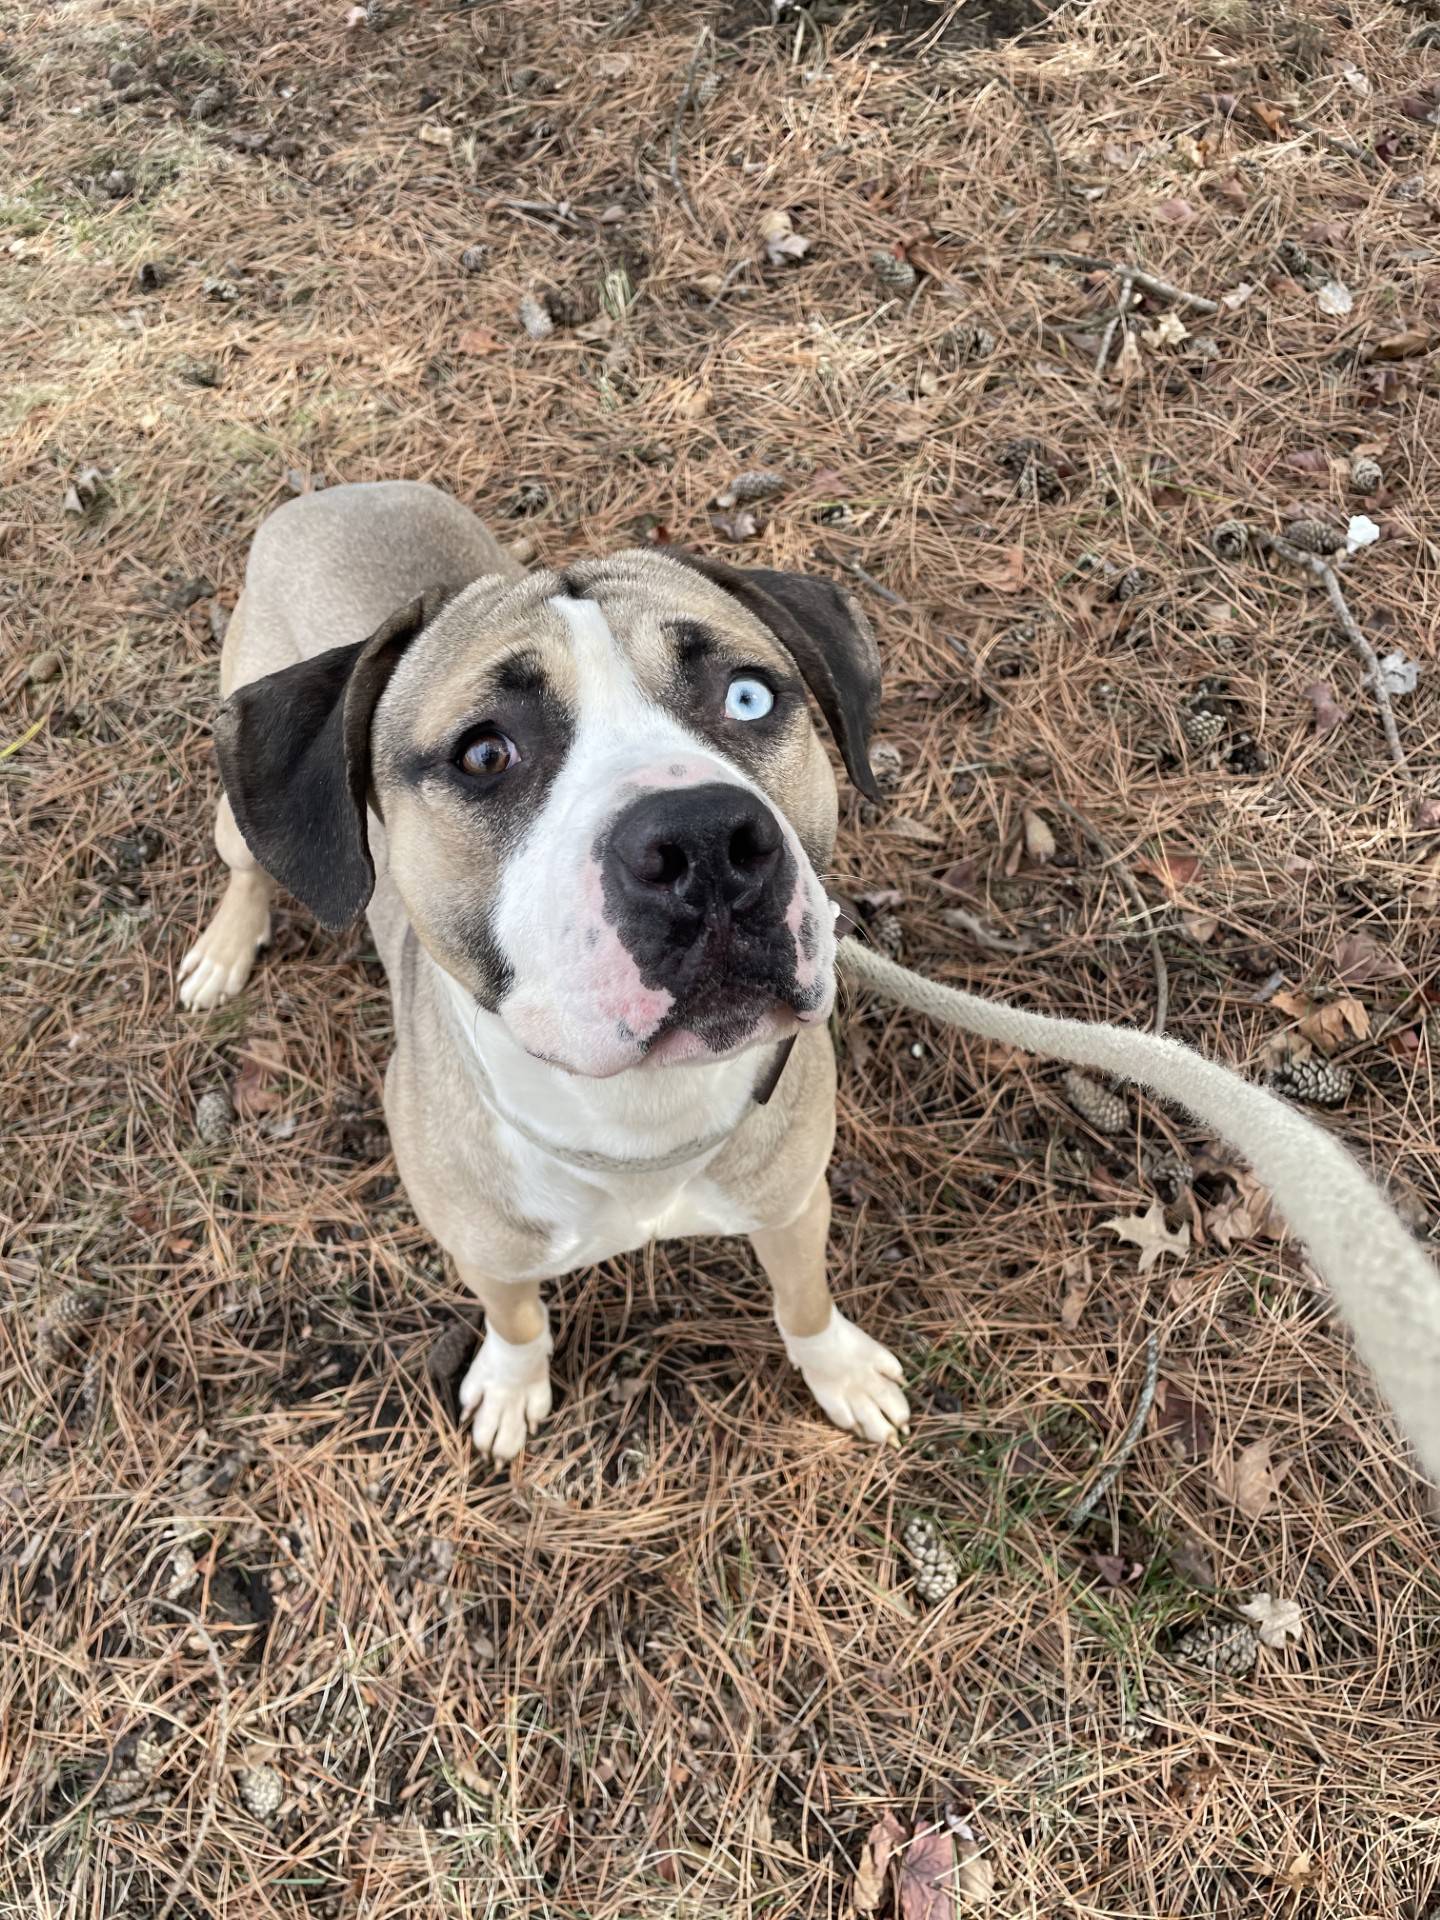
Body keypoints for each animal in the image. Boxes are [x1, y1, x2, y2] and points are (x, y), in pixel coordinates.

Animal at [177, 480, 902, 1451]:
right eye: (486, 753)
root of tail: (333, 490)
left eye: (749, 696)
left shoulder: (792, 1202)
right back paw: (224, 952)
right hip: (238, 810)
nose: (706, 843)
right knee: (251, 869)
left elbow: (804, 1300)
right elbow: (516, 1317)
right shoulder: (484, 1249)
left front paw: (841, 1369)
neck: (639, 1119)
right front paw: (512, 1383)